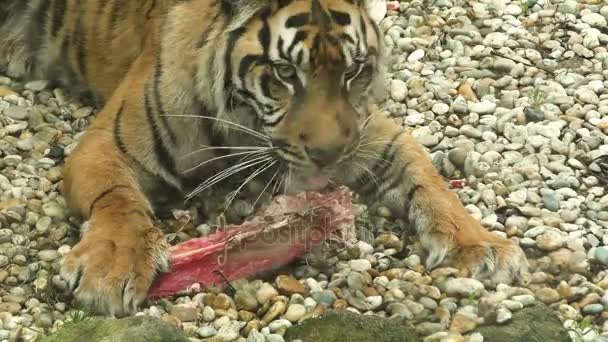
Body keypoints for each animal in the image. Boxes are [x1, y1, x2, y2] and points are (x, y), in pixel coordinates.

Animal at [1, 0, 528, 316]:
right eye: (285, 73)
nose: (327, 155)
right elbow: (119, 201)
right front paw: (112, 267)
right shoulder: (107, 145)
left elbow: (428, 176)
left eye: (354, 71)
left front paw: (480, 244)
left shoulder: (368, 131)